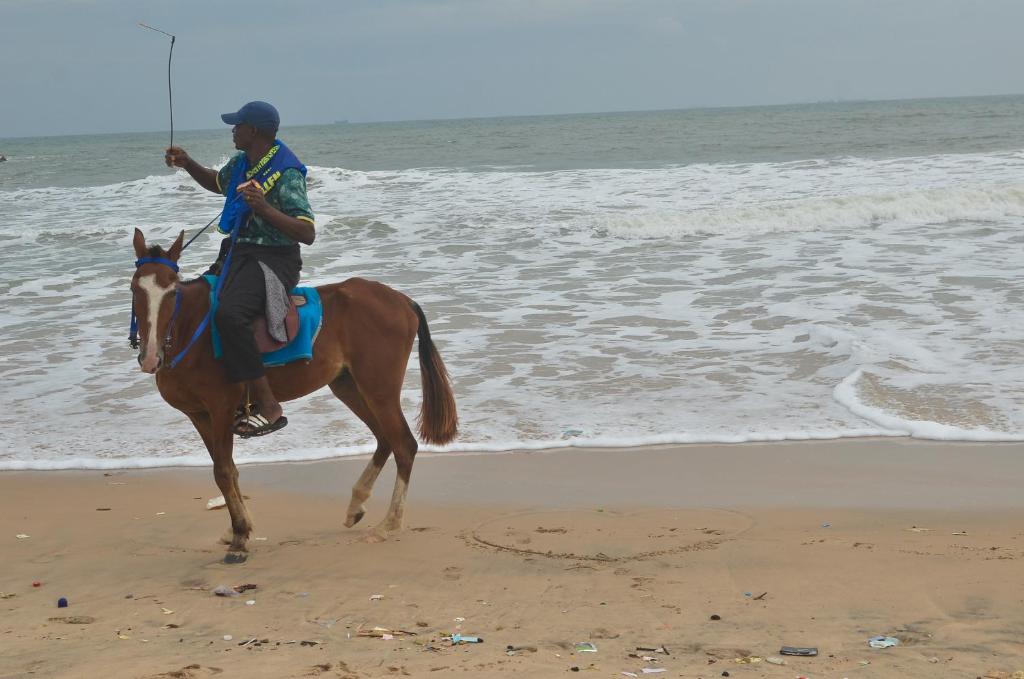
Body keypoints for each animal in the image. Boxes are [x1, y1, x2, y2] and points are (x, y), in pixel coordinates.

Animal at [130, 228, 458, 562]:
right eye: (134, 288)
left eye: (172, 292)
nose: (150, 356)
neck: (190, 329)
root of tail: (402, 300)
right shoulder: (198, 415)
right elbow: (230, 471)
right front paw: (239, 528)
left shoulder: (221, 408)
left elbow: (222, 471)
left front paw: (239, 538)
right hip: (348, 386)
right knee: (384, 439)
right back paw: (356, 505)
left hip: (378, 388)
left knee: (404, 445)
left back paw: (387, 524)